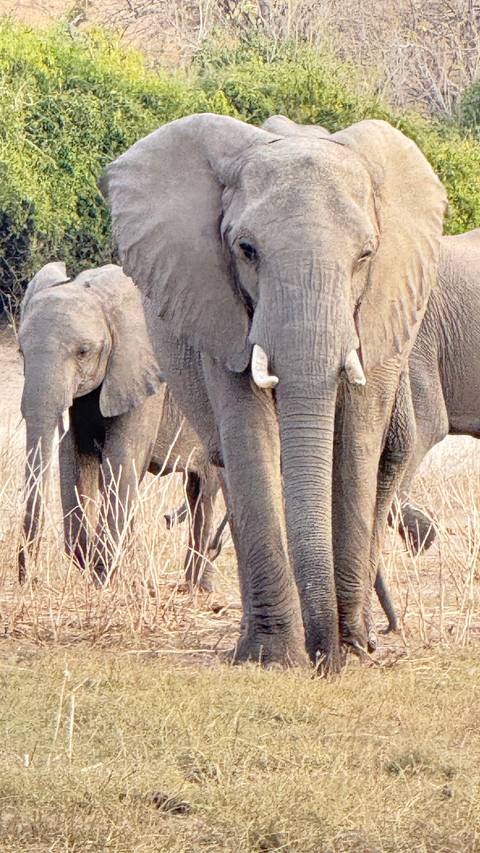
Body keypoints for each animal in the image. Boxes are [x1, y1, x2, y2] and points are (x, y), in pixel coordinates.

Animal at [18, 262, 223, 591]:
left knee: (206, 491)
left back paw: (195, 588)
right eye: (21, 353)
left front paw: (103, 578)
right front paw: (94, 565)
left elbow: (121, 458)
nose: (30, 580)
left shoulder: (145, 373)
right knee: (196, 490)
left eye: (83, 351)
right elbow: (75, 459)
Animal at [101, 111, 446, 671]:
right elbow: (249, 436)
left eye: (366, 255)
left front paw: (350, 648)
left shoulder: (382, 309)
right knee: (225, 466)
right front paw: (276, 658)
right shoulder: (219, 311)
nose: (327, 656)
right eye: (247, 251)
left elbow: (356, 443)